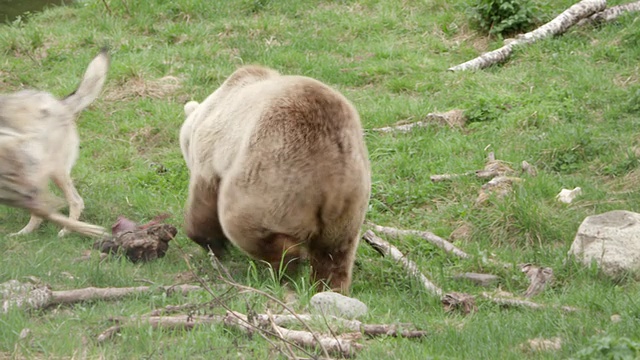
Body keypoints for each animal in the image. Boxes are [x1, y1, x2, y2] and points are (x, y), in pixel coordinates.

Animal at [180, 66, 370, 294]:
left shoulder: (211, 154)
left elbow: (203, 202)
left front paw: (210, 243)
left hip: (274, 178)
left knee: (243, 221)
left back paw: (285, 267)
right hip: (351, 199)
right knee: (335, 251)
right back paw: (327, 285)